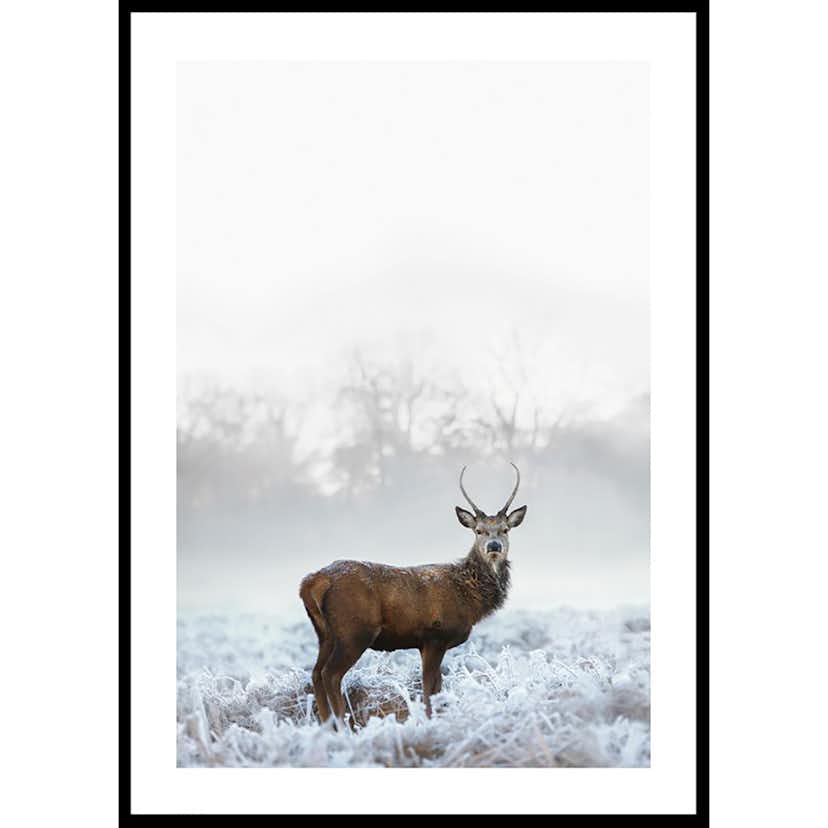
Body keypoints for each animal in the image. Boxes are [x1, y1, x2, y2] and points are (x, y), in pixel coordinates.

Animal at [299, 463, 527, 726]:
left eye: (505, 530)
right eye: (479, 531)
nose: (494, 546)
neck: (470, 599)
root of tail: (311, 582)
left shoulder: (427, 643)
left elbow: (436, 686)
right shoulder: (435, 635)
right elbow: (428, 689)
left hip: (325, 633)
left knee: (316, 672)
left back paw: (327, 726)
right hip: (354, 630)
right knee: (331, 674)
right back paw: (343, 723)